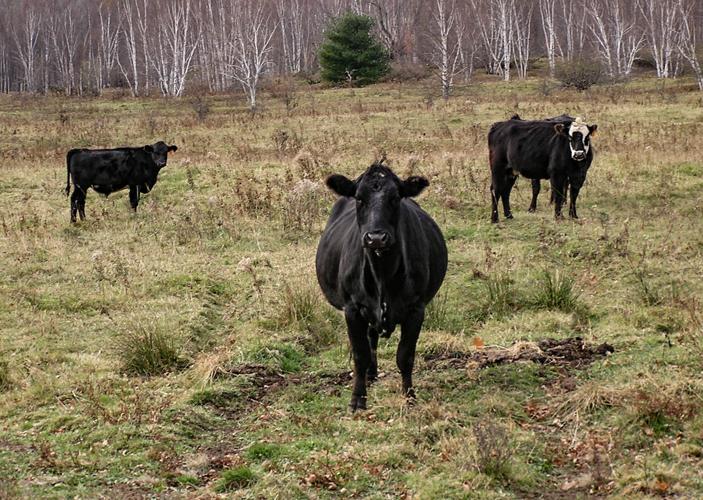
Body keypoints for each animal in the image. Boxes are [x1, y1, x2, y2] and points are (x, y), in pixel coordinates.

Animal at [316, 161, 448, 411]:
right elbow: (360, 355)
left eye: (395, 198)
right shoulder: (352, 309)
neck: (382, 274)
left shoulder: (416, 309)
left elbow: (405, 356)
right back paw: (369, 374)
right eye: (359, 198)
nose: (376, 238)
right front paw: (358, 399)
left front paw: (409, 396)